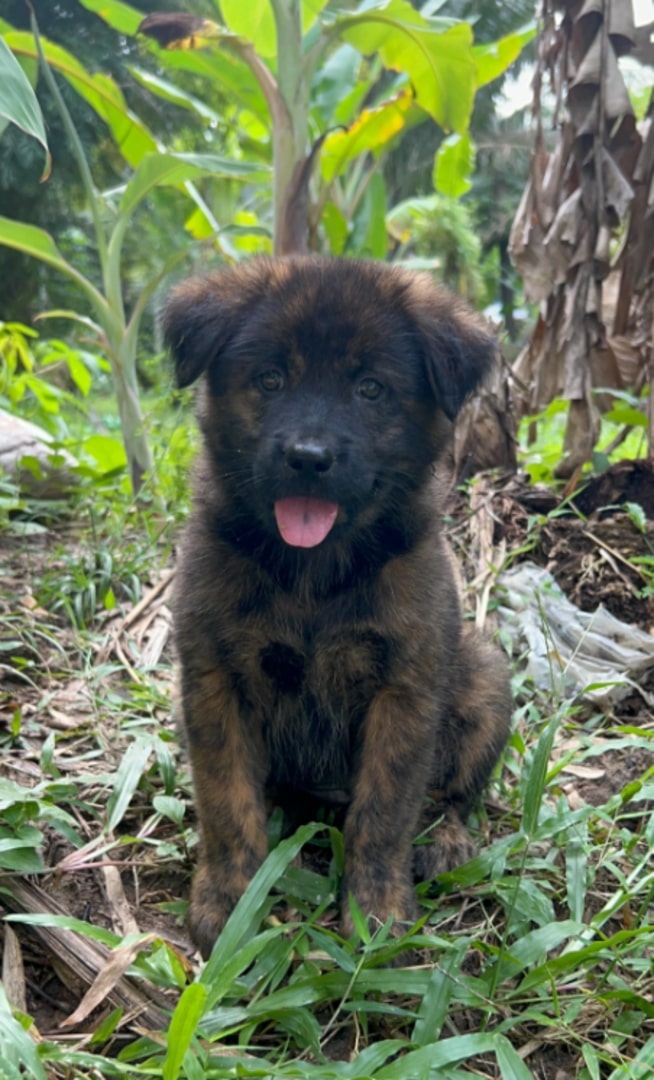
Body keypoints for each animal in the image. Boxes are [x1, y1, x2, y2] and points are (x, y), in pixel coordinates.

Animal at [165, 257, 513, 959]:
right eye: (271, 379)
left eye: (371, 389)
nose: (308, 458)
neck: (313, 574)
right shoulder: (214, 680)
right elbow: (226, 800)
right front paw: (229, 900)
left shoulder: (404, 689)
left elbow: (382, 814)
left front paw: (376, 914)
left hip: (484, 677)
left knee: (454, 794)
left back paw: (446, 839)